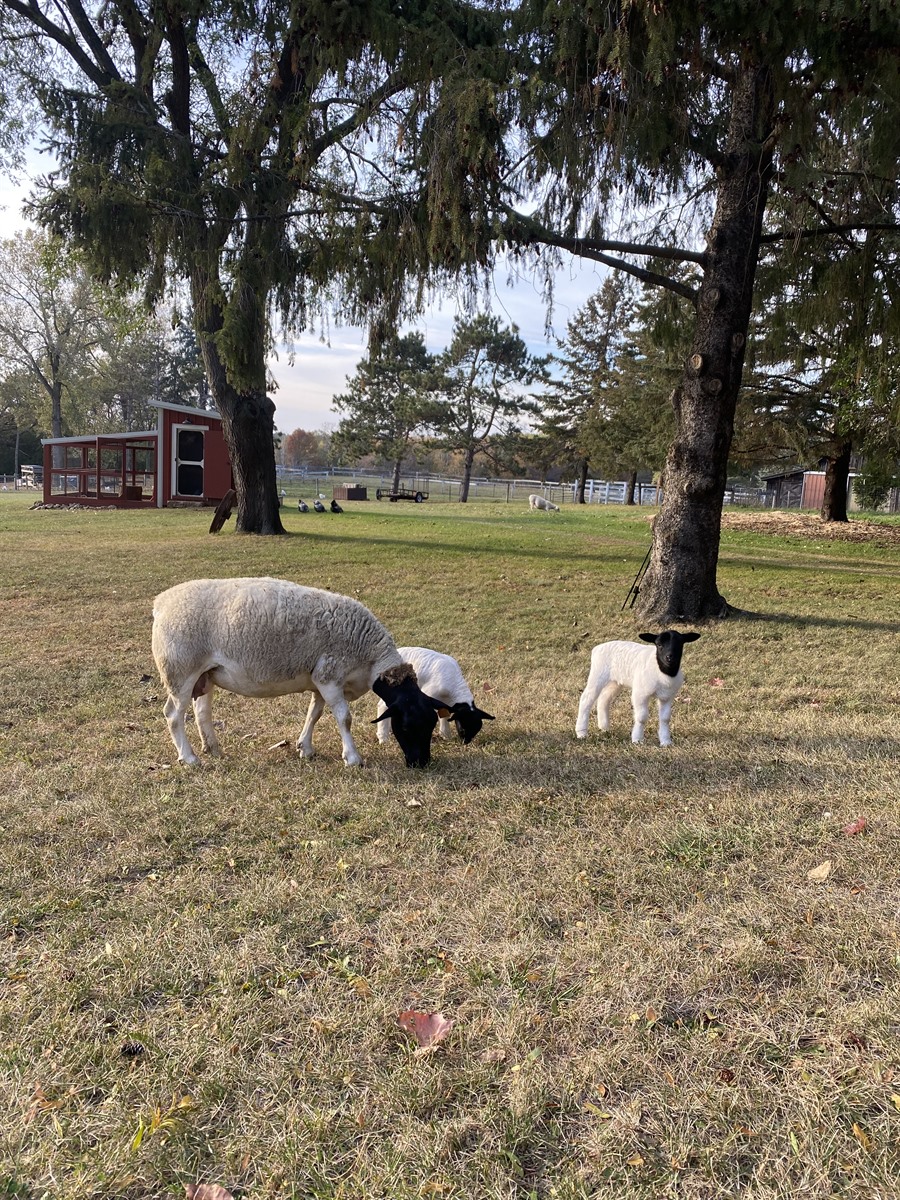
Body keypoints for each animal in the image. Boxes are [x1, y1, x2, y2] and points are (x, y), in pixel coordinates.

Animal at [151, 577, 448, 769]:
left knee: (202, 712)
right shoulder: (330, 675)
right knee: (173, 715)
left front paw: (305, 747)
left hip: (206, 674)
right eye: (406, 726)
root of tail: (161, 602)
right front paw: (353, 758)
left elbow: (314, 713)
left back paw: (212, 748)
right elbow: (344, 718)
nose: (421, 764)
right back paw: (189, 758)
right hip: (179, 669)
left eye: (431, 723)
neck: (369, 656)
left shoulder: (320, 679)